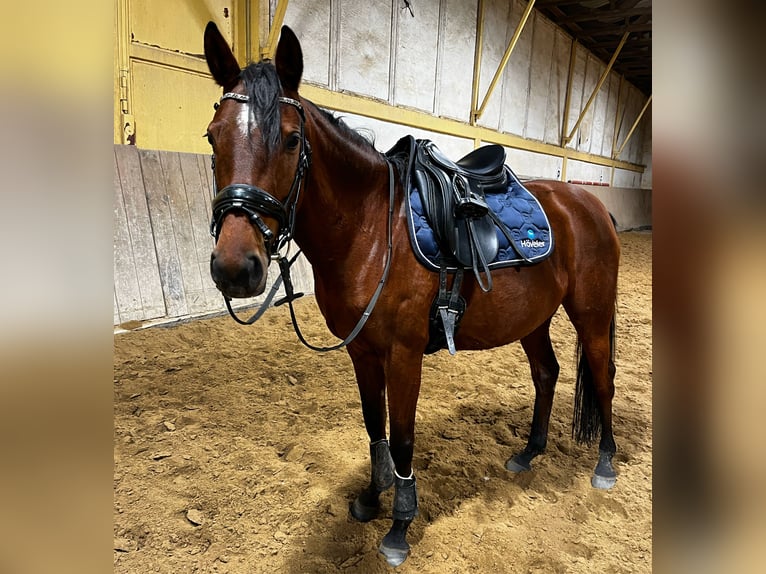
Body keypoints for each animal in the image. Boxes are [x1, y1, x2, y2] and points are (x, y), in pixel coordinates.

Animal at [202, 23, 616, 572]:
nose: (235, 268)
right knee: (546, 373)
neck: (372, 229)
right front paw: (370, 499)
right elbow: (374, 426)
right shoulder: (361, 352)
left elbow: (400, 436)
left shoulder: (403, 354)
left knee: (604, 378)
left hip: (592, 314)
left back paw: (606, 462)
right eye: (212, 136)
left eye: (291, 140)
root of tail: (591, 203)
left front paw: (399, 525)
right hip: (534, 319)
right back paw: (529, 453)